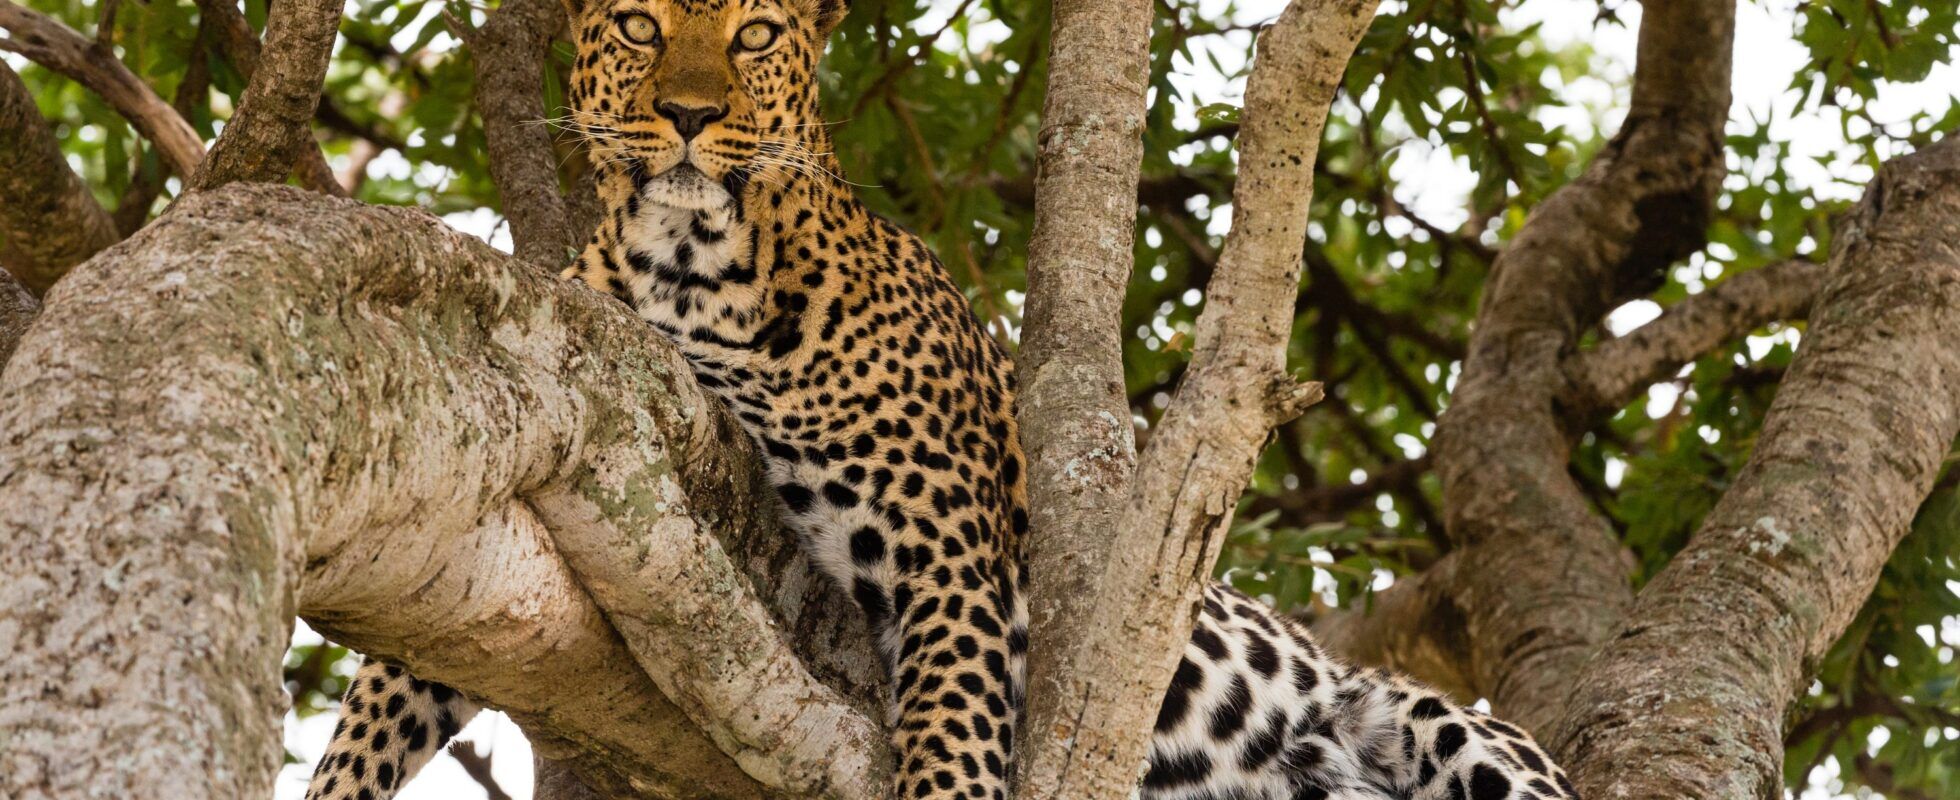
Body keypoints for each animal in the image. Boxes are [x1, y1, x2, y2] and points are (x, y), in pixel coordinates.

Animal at [309, 1, 1591, 800]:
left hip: (1438, 721)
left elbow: (952, 738)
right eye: (638, 25)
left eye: (754, 33)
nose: (685, 115)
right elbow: (374, 710)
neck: (689, 270)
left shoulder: (941, 553)